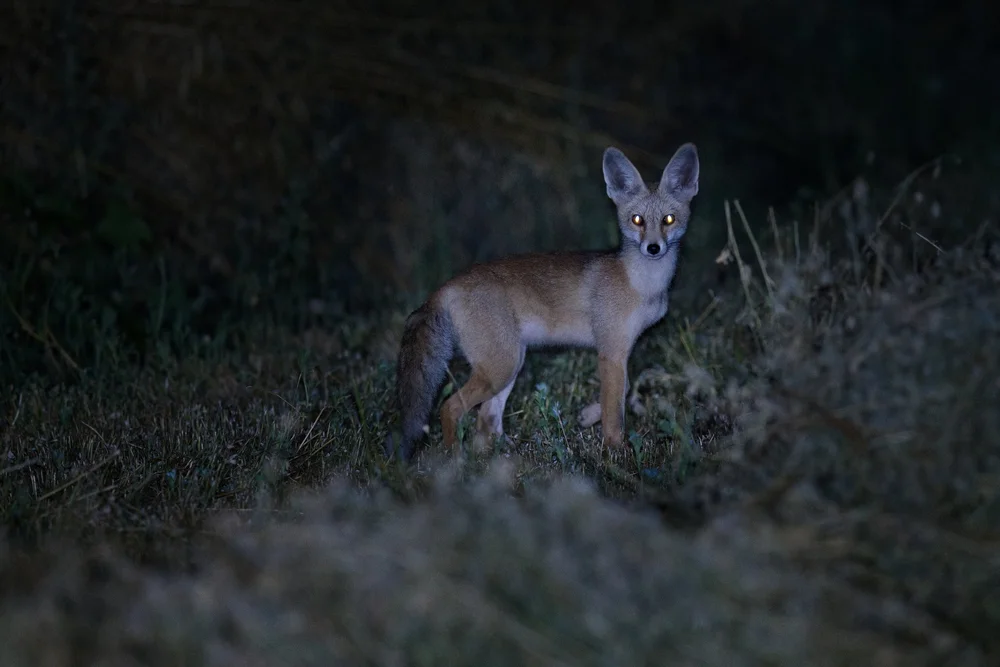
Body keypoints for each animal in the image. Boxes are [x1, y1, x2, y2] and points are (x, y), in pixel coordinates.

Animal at [384, 142, 700, 462]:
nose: (653, 248)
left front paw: (588, 416)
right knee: (450, 408)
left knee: (486, 421)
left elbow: (622, 393)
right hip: (500, 367)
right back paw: (454, 462)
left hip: (509, 364)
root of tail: (447, 285)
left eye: (668, 220)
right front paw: (615, 450)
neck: (642, 286)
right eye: (637, 220)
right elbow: (615, 410)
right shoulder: (611, 351)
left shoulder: (620, 350)